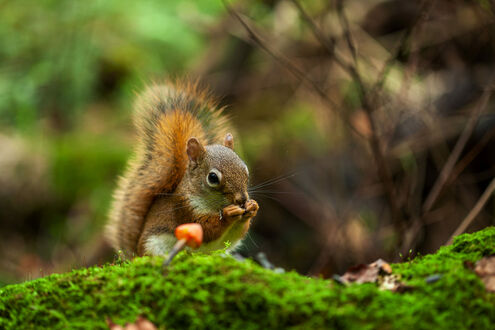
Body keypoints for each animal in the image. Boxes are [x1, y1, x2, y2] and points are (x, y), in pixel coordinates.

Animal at [104, 81, 260, 256]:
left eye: (245, 170)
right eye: (212, 178)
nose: (242, 200)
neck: (214, 205)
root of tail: (134, 254)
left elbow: (238, 233)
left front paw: (253, 207)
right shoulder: (185, 209)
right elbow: (207, 230)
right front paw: (228, 214)